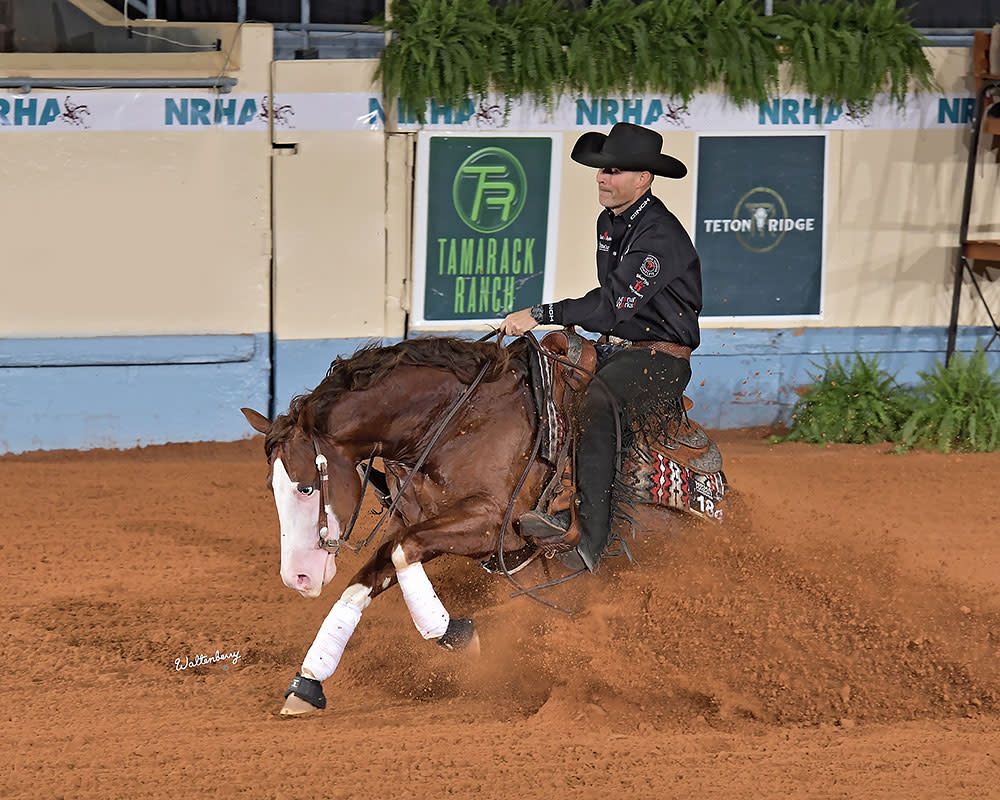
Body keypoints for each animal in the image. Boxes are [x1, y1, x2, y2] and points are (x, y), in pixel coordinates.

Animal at [242, 335, 725, 717]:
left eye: (306, 488)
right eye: (271, 487)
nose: (298, 578)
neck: (456, 422)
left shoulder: (493, 526)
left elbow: (400, 550)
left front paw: (455, 634)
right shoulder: (432, 525)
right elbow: (372, 574)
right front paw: (308, 682)